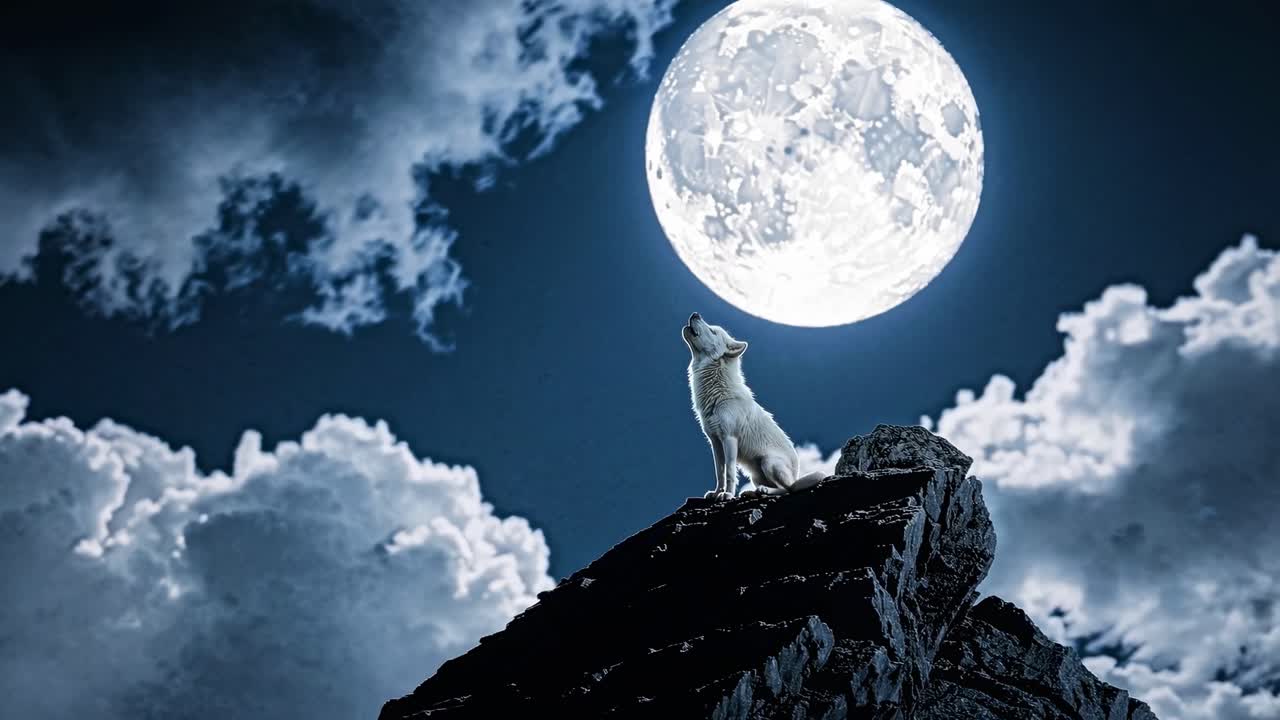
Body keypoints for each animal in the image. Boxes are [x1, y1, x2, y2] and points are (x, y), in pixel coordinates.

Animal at [681, 312, 827, 500]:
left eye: (713, 331)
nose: (695, 314)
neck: (718, 393)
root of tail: (796, 474)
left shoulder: (729, 438)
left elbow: (730, 471)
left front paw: (727, 495)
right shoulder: (715, 442)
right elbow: (719, 473)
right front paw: (716, 493)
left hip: (769, 462)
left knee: (789, 489)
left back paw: (762, 491)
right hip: (755, 475)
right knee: (782, 488)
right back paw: (753, 491)